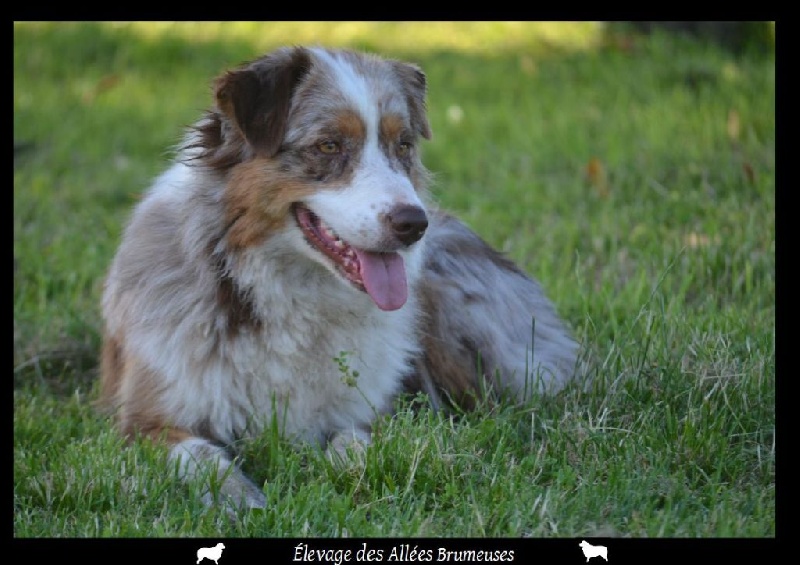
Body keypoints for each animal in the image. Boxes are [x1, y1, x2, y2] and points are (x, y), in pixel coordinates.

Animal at [100, 46, 580, 508]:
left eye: (403, 144)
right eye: (329, 146)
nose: (413, 224)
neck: (284, 292)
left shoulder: (372, 410)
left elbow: (355, 444)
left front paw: (350, 474)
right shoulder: (142, 422)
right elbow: (199, 456)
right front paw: (238, 498)